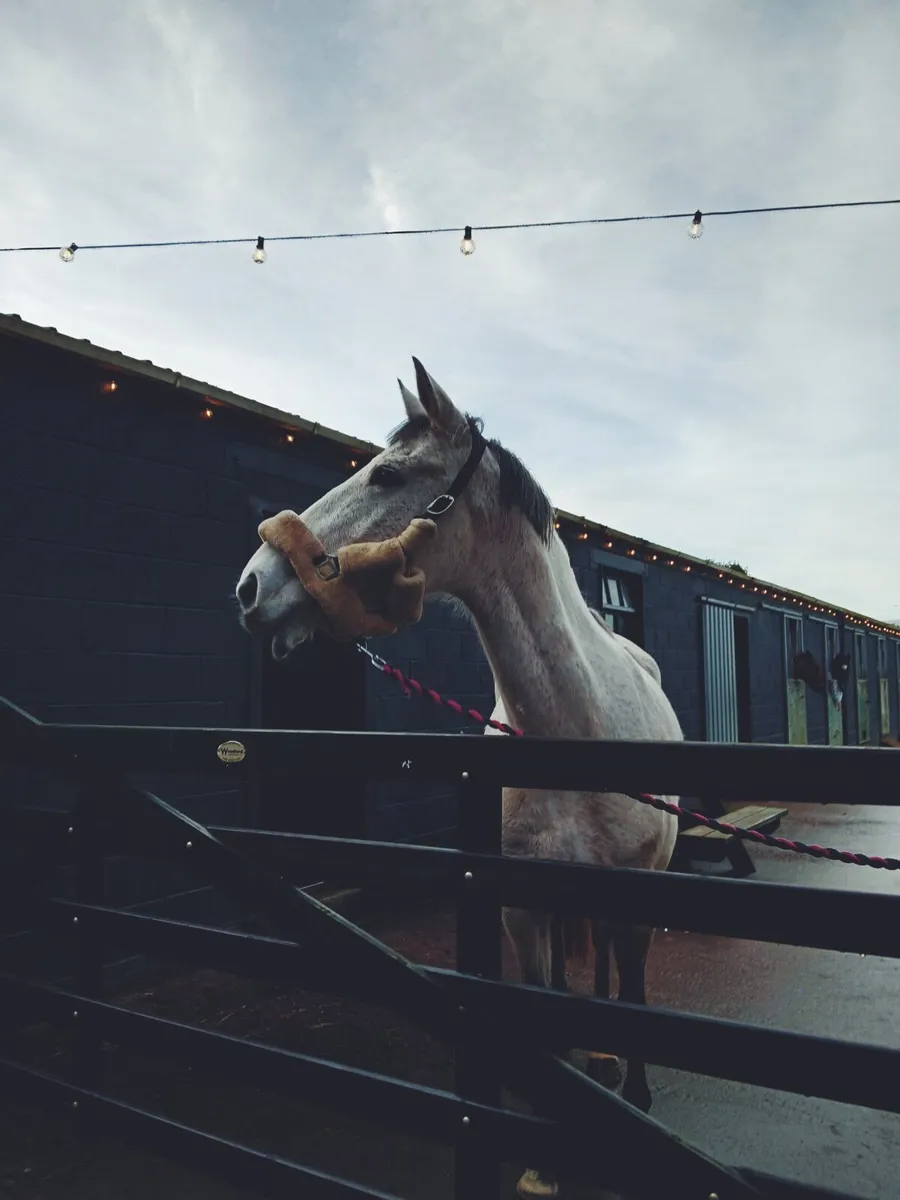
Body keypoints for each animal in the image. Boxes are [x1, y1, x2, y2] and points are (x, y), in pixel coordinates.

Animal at [235, 358, 684, 1198]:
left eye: (388, 474)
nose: (251, 586)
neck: (572, 727)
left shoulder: (637, 893)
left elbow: (636, 992)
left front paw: (635, 1103)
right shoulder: (520, 910)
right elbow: (545, 1016)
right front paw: (549, 1151)